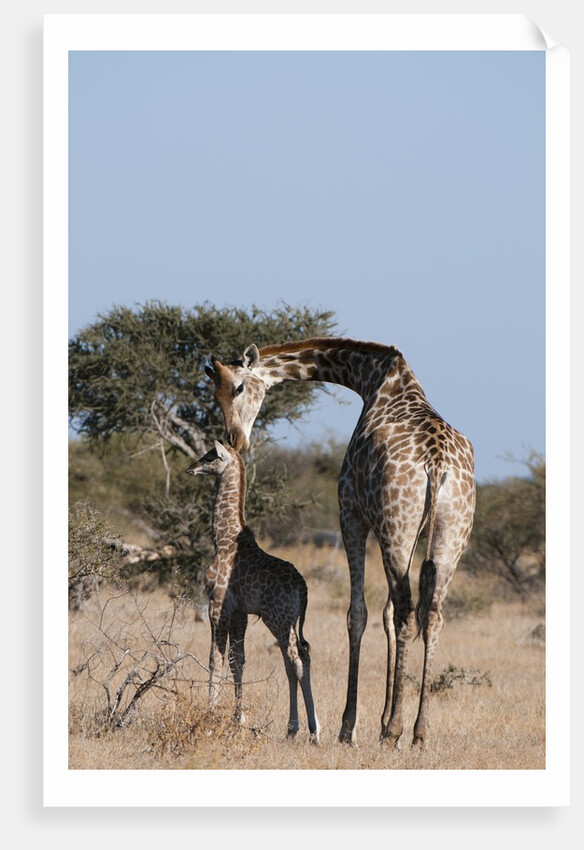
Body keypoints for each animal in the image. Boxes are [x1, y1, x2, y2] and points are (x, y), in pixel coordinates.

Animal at [186, 440, 320, 743]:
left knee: (296, 660)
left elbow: (215, 658)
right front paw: (238, 718)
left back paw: (313, 731)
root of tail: (303, 588)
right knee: (298, 658)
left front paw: (209, 717)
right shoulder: (240, 613)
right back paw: (293, 729)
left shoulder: (217, 604)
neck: (223, 538)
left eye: (210, 456)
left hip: (279, 619)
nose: (191, 468)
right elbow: (238, 660)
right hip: (287, 621)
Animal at [205, 338, 475, 747]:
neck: (372, 379)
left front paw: (350, 726)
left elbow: (358, 614)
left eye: (237, 387)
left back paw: (394, 732)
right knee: (431, 614)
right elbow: (384, 613)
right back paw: (419, 733)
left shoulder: (350, 512)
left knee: (406, 611)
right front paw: (377, 718)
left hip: (398, 527)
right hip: (449, 535)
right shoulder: (399, 531)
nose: (235, 440)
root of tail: (438, 464)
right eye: (214, 394)